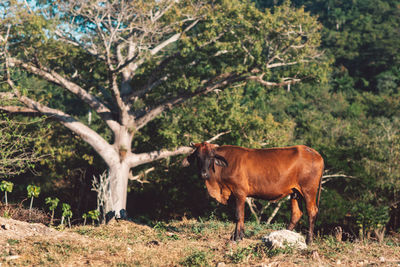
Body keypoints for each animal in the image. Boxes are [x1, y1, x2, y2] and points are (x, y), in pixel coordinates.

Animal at [183, 142, 324, 245]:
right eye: (198, 157)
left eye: (211, 157)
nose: (203, 174)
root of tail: (315, 153)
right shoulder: (234, 195)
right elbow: (239, 216)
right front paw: (235, 236)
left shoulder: (239, 192)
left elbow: (238, 215)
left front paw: (237, 238)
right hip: (295, 192)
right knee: (296, 213)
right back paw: (284, 235)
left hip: (308, 190)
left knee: (311, 211)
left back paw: (309, 240)